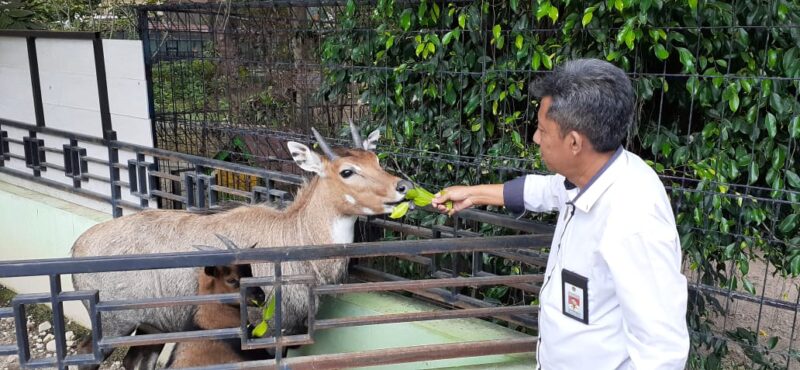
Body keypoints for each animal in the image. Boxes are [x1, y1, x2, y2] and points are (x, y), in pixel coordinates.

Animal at [70, 125, 412, 370]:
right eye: (347, 171)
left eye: (376, 160)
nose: (403, 186)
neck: (295, 235)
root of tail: (76, 247)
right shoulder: (271, 331)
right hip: (114, 326)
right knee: (85, 357)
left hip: (153, 327)